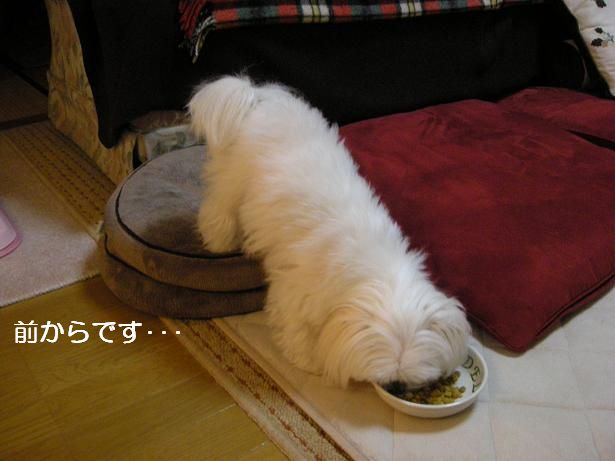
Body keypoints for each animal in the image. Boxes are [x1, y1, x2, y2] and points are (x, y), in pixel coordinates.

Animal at [188, 76, 470, 388]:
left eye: (410, 380)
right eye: (387, 378)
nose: (395, 386)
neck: (373, 265)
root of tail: (256, 98)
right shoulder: (296, 291)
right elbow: (297, 329)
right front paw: (309, 362)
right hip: (232, 182)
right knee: (218, 211)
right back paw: (220, 242)